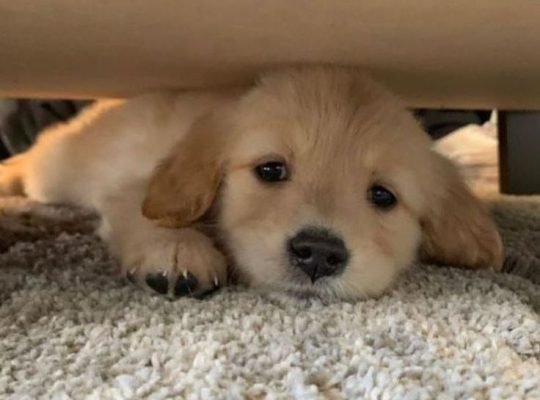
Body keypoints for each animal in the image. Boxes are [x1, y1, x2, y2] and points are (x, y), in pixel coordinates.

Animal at [0, 65, 502, 298]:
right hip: (61, 166)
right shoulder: (130, 187)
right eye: (271, 169)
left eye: (383, 195)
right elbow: (147, 213)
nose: (318, 254)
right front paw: (177, 250)